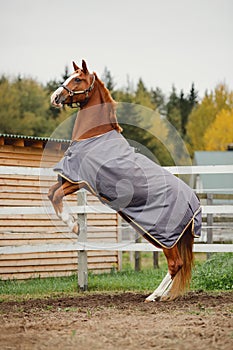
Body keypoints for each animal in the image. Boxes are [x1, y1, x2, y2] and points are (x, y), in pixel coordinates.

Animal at [49, 60, 202, 300]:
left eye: (78, 79)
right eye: (69, 76)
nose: (55, 97)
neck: (94, 137)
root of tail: (194, 202)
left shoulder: (78, 180)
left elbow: (55, 195)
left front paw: (73, 226)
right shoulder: (70, 178)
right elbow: (51, 193)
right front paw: (74, 224)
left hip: (165, 236)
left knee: (175, 264)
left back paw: (153, 296)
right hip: (162, 235)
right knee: (177, 265)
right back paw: (159, 295)